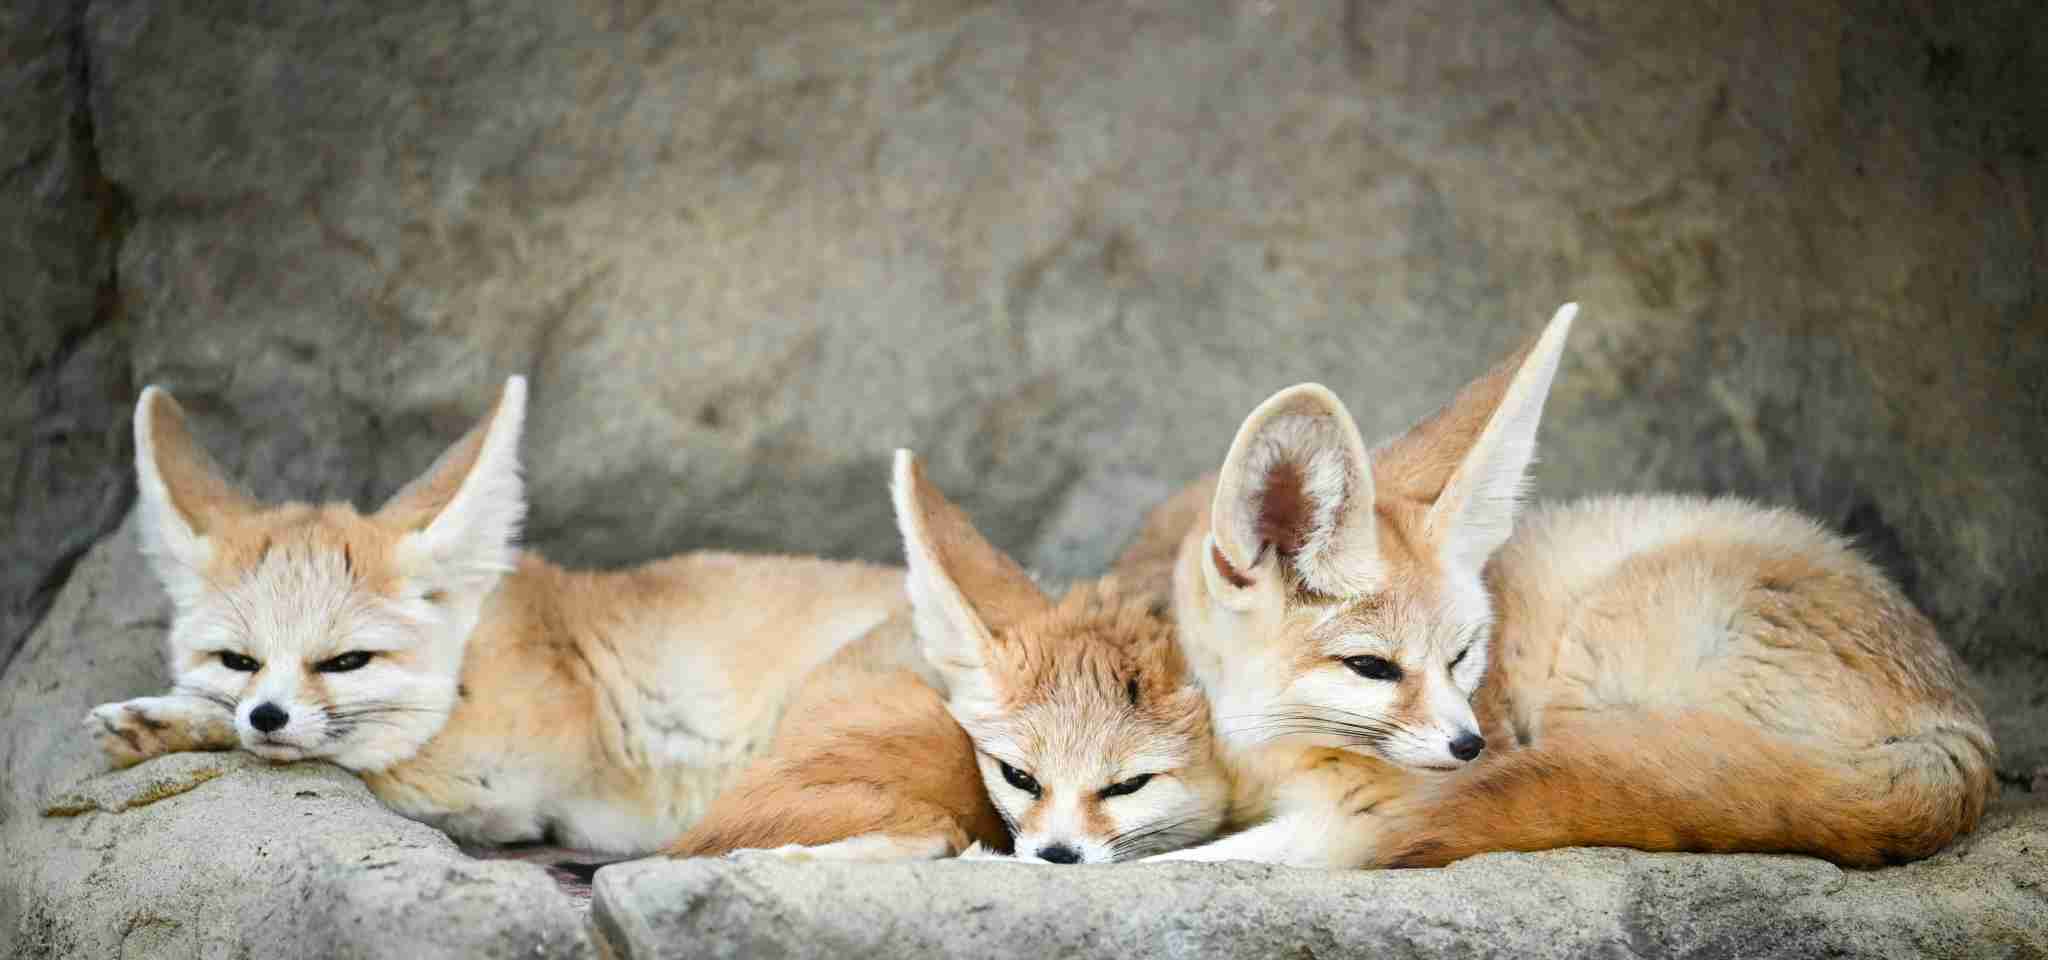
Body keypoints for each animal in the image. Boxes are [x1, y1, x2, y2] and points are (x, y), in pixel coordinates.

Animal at [83, 376, 914, 854]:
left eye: (346, 661)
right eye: (239, 660)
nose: (267, 714)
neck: (477, 653)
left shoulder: (495, 783)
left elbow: (360, 747)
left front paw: (173, 720)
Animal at [1127, 303, 1997, 869]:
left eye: (1463, 655)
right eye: (1371, 667)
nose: (1472, 746)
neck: (1262, 742)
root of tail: (1960, 727)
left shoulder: (1364, 811)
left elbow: (1189, 862)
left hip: (1597, 642)